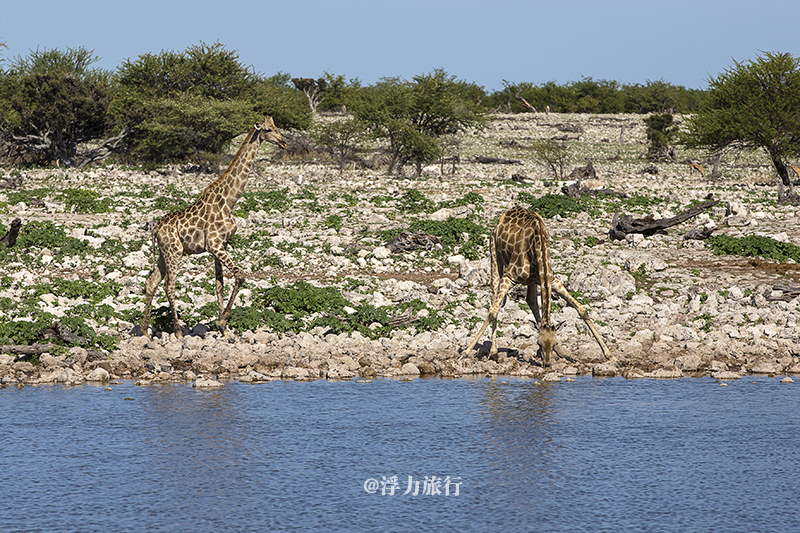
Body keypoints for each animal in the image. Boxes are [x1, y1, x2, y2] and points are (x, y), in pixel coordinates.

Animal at [141, 117, 288, 340]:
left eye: (278, 127)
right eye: (269, 130)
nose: (284, 142)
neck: (229, 202)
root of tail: (155, 229)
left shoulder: (220, 246)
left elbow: (219, 284)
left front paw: (224, 329)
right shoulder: (215, 245)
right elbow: (240, 275)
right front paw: (221, 321)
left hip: (164, 254)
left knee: (152, 282)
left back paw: (144, 332)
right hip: (174, 252)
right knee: (169, 285)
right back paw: (178, 332)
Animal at [462, 205, 612, 366]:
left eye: (554, 343)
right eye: (538, 343)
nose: (547, 364)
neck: (538, 245)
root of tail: (505, 214)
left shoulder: (550, 279)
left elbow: (582, 310)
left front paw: (611, 356)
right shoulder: (509, 276)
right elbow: (492, 312)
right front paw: (465, 353)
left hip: (532, 280)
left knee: (531, 300)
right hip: (495, 257)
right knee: (494, 298)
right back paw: (494, 352)